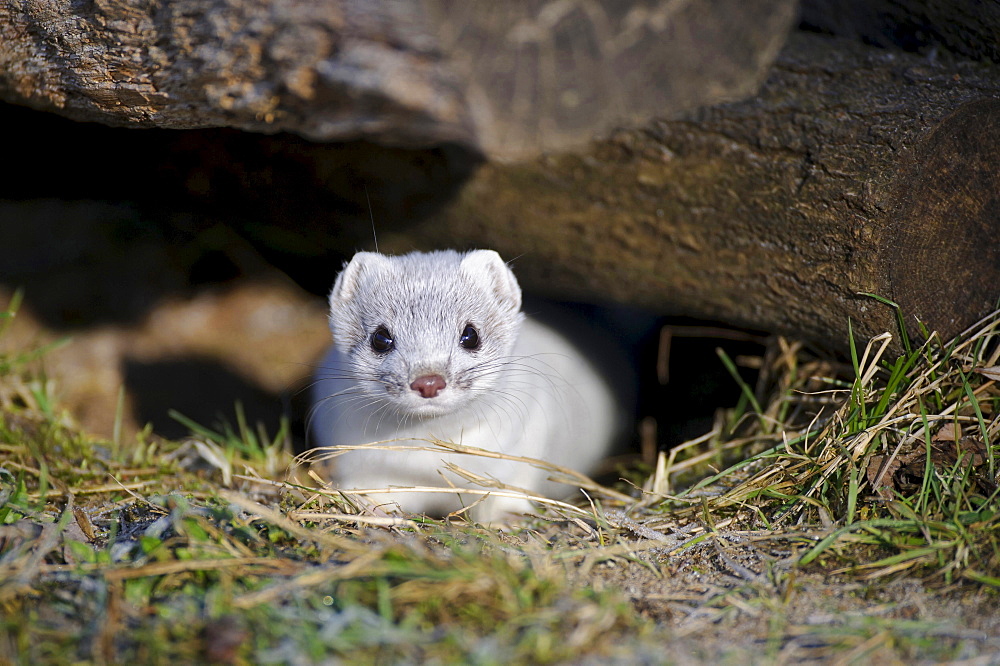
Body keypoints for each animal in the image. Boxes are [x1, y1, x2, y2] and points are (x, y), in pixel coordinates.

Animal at [308, 248, 620, 520]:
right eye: (380, 337)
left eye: (471, 334)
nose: (428, 381)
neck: (425, 466)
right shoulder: (359, 462)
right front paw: (371, 507)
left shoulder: (522, 448)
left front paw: (508, 516)